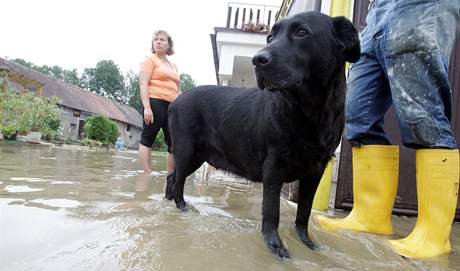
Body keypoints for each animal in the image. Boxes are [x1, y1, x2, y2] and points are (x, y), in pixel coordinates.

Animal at [167, 12, 362, 260]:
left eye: (301, 32)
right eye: (270, 36)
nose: (257, 59)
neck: (310, 114)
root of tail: (175, 101)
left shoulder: (316, 170)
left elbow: (304, 212)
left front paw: (306, 242)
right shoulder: (274, 166)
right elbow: (272, 211)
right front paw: (275, 246)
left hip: (195, 156)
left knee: (171, 178)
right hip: (187, 151)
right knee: (177, 180)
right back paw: (181, 206)